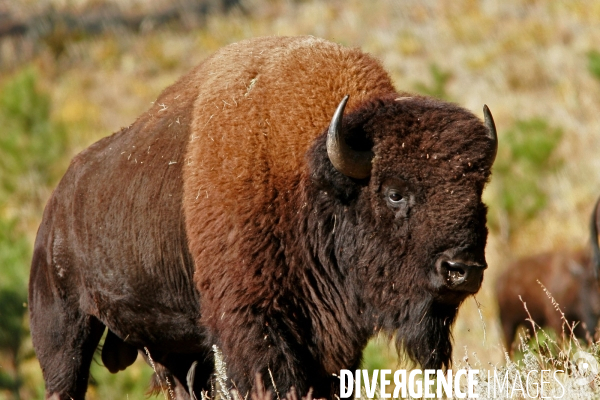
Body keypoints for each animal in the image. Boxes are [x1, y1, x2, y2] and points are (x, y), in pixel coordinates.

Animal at [28, 36, 496, 398]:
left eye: (478, 192)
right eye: (395, 193)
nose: (462, 270)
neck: (306, 178)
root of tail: (56, 205)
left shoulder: (331, 344)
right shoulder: (255, 325)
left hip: (172, 345)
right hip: (63, 328)